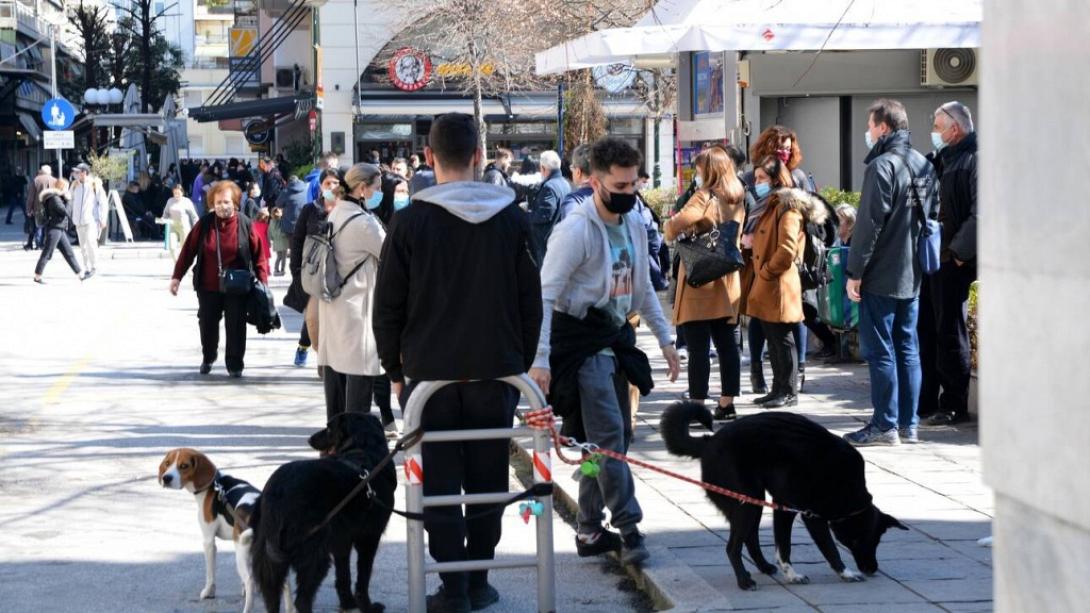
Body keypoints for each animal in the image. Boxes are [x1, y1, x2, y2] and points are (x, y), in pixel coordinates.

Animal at [158, 447, 292, 606]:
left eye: (184, 466)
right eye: (167, 463)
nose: (166, 478)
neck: (212, 485)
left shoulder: (209, 541)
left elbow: (210, 573)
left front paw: (208, 592)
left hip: (241, 554)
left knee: (250, 581)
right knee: (286, 584)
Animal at [250, 410, 396, 610]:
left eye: (328, 428)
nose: (309, 439)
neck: (364, 447)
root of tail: (278, 491)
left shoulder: (343, 540)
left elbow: (343, 576)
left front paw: (348, 603)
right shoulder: (369, 537)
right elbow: (363, 577)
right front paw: (366, 606)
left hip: (270, 557)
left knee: (272, 597)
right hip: (315, 552)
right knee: (302, 600)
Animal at [658, 401, 906, 589]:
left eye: (878, 540)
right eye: (867, 540)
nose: (873, 568)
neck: (848, 487)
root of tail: (710, 441)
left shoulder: (784, 508)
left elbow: (783, 546)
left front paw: (791, 574)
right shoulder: (811, 517)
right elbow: (830, 549)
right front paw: (846, 573)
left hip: (754, 501)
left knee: (750, 538)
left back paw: (763, 567)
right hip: (747, 501)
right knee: (733, 546)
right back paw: (744, 581)